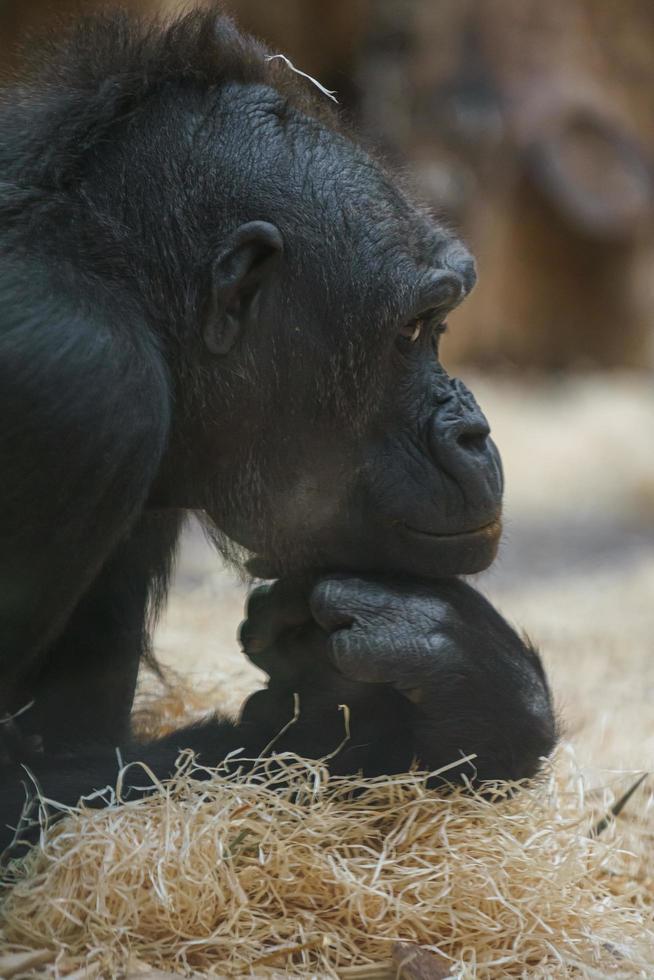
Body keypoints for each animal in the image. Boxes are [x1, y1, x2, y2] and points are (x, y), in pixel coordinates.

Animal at [0, 7, 560, 848]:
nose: (471, 431)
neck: (124, 281)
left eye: (440, 324)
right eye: (412, 329)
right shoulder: (83, 384)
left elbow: (76, 741)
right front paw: (457, 700)